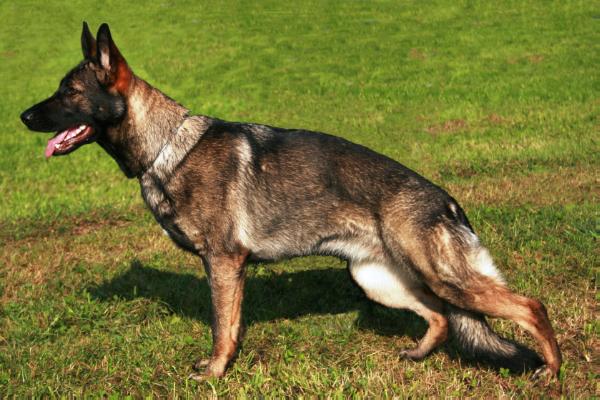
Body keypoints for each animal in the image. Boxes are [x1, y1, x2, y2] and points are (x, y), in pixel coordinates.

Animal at [21, 22, 561, 381]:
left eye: (69, 91)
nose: (23, 116)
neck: (165, 145)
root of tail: (447, 201)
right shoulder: (228, 267)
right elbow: (229, 324)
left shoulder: (224, 263)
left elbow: (222, 327)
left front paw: (215, 372)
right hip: (377, 280)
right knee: (441, 319)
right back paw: (417, 355)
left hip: (443, 277)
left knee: (530, 306)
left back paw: (551, 372)